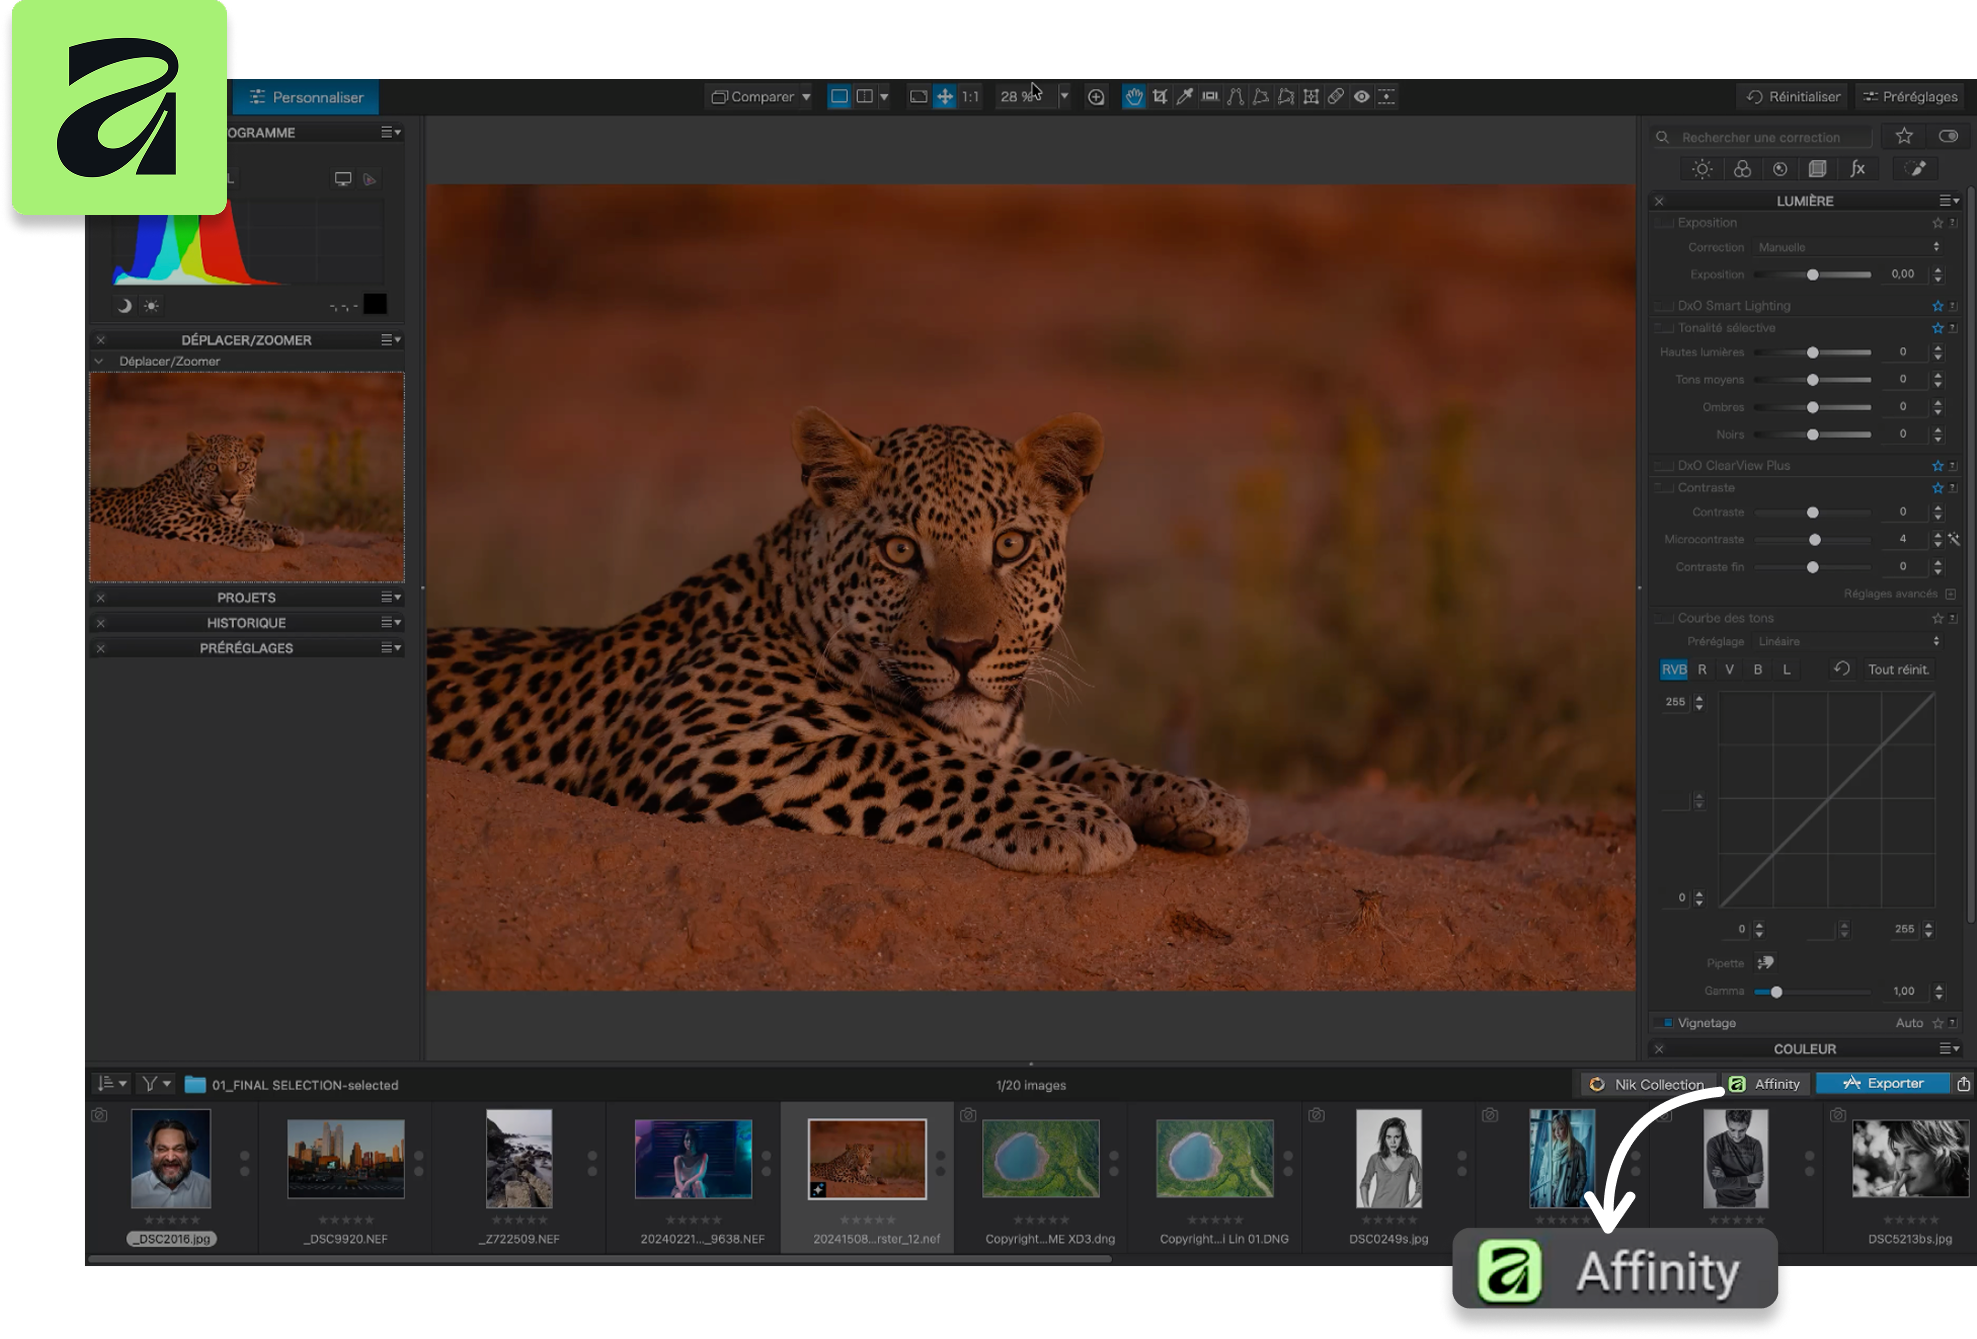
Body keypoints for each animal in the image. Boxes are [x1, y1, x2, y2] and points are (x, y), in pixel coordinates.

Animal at [90, 432, 304, 552]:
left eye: (242, 466)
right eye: (212, 467)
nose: (229, 493)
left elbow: (257, 521)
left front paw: (289, 531)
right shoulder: (159, 517)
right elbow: (213, 521)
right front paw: (256, 537)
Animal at [426, 408, 1249, 875]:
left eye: (1010, 546)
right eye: (899, 552)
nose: (964, 651)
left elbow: (1073, 758)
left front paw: (1192, 797)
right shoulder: (694, 745)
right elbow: (903, 757)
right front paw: (1068, 819)